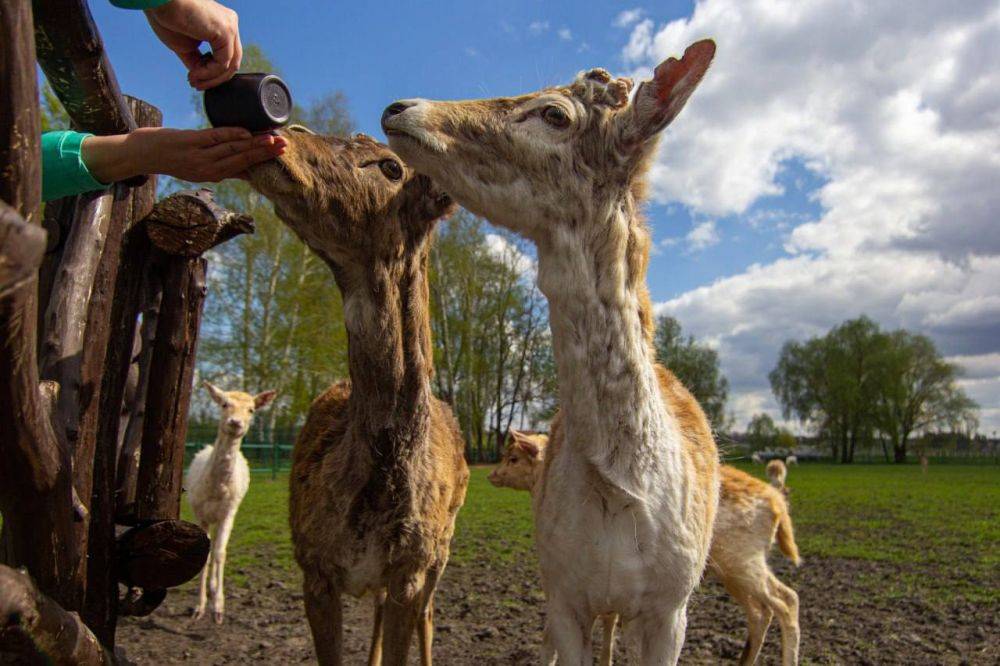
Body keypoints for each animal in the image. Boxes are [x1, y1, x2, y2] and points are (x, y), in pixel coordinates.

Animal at [184, 382, 276, 620]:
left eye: (251, 409)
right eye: (225, 404)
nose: (235, 422)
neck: (217, 490)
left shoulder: (229, 512)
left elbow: (220, 553)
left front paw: (218, 608)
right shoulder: (199, 512)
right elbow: (205, 554)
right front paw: (199, 608)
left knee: (218, 546)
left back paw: (215, 588)